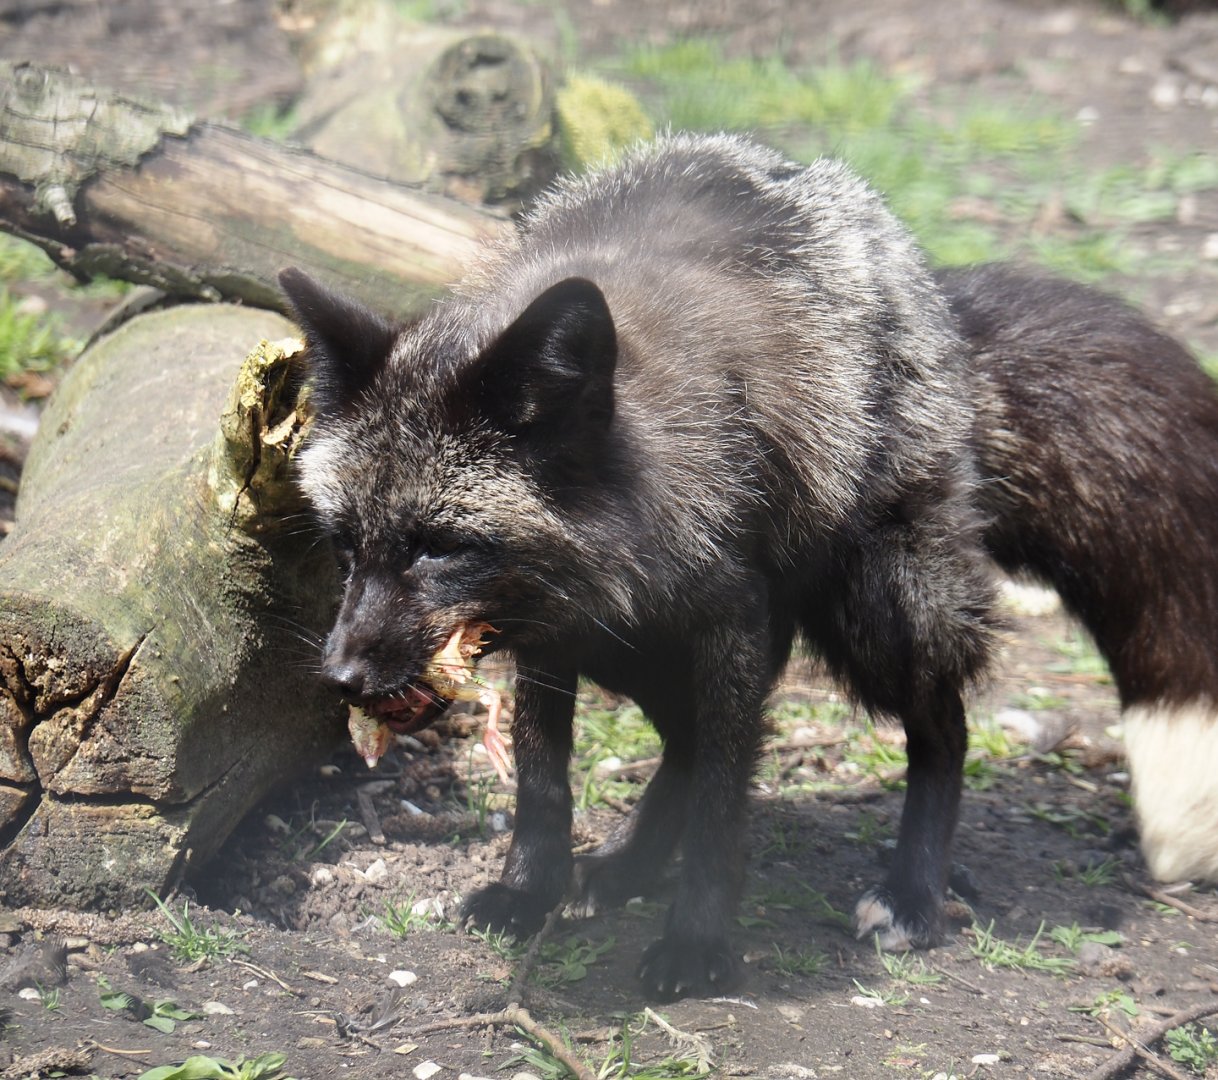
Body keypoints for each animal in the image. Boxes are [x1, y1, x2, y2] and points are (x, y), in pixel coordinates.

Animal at [280, 133, 1218, 1001]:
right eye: (347, 543)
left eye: (437, 546)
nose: (340, 678)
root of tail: (941, 307)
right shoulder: (555, 634)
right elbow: (545, 782)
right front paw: (529, 891)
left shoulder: (729, 625)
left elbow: (724, 802)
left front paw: (697, 941)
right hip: (640, 650)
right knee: (685, 746)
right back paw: (627, 868)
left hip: (876, 611)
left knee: (942, 727)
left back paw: (914, 893)